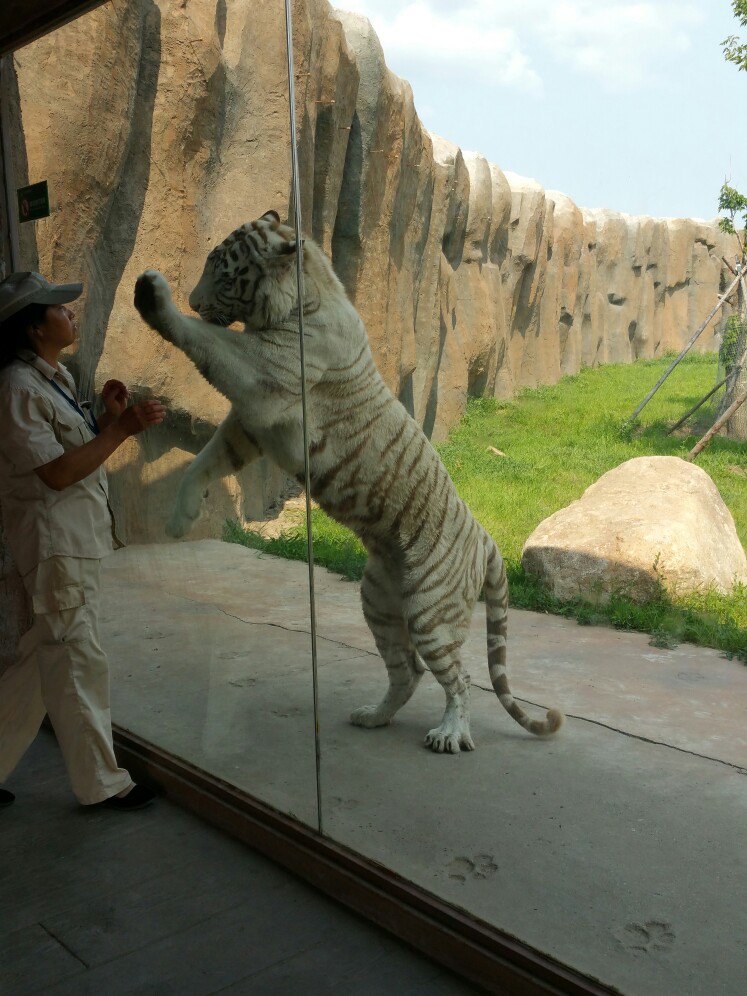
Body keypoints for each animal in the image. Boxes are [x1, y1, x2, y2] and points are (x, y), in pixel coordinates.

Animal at [133, 212, 560, 756]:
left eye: (224, 274)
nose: (193, 300)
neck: (299, 300)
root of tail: (486, 538)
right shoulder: (251, 426)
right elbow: (202, 463)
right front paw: (179, 518)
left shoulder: (264, 372)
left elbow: (207, 341)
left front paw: (154, 296)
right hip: (379, 599)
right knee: (408, 670)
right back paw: (372, 716)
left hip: (432, 609)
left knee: (459, 679)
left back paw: (449, 734)